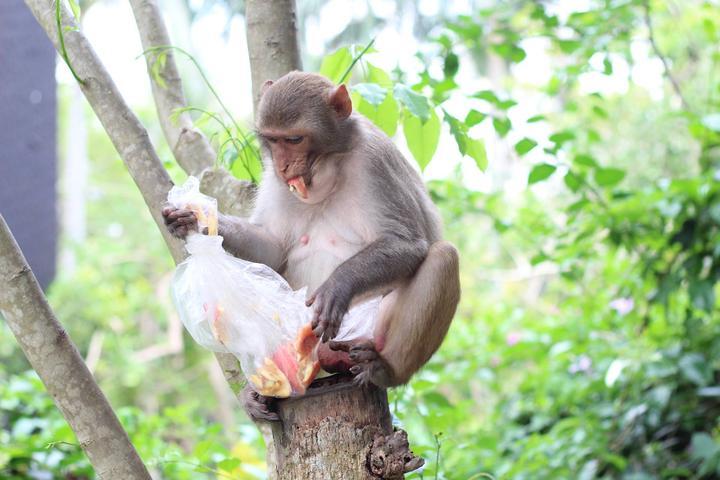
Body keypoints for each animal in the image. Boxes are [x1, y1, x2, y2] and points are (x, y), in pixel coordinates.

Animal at [162, 70, 458, 420]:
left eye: (294, 140)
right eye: (273, 140)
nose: (284, 166)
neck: (333, 164)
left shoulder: (375, 161)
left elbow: (409, 243)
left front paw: (338, 286)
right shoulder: (274, 180)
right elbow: (272, 247)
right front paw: (192, 220)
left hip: (368, 332)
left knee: (443, 256)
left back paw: (384, 369)